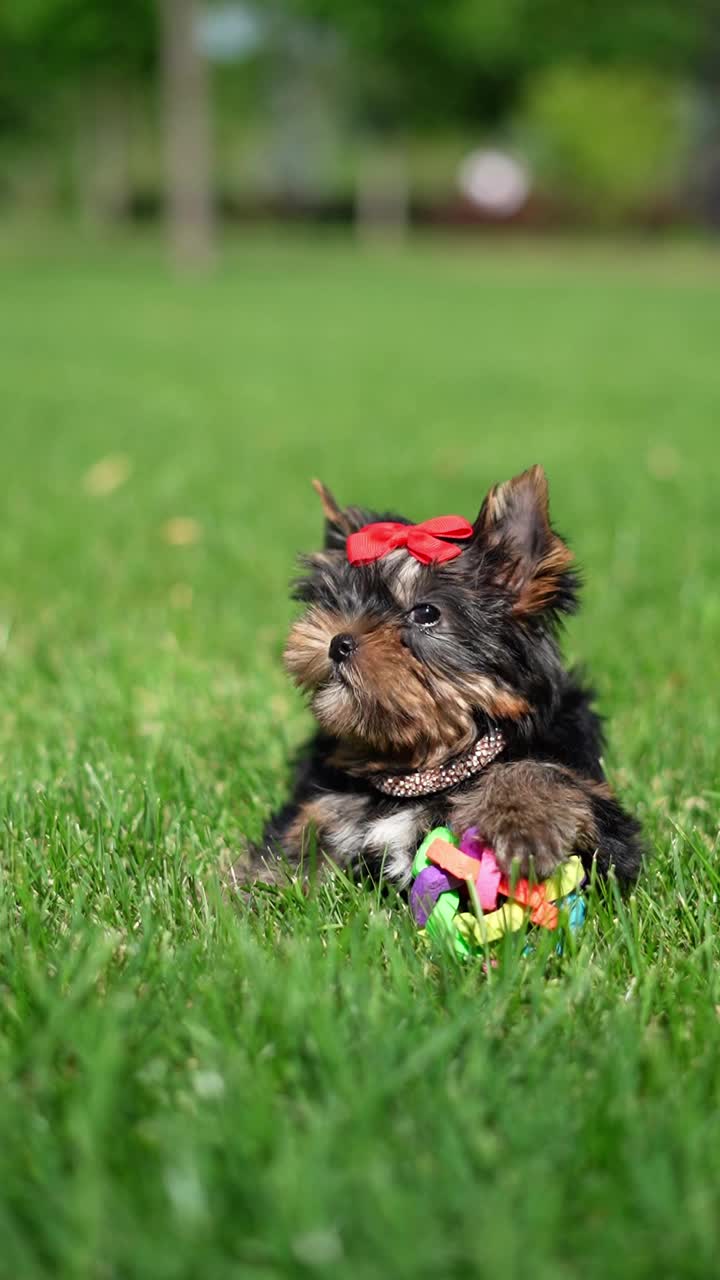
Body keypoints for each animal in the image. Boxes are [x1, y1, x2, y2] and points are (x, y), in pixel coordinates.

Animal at [238, 465, 640, 896]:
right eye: (336, 602)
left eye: (426, 613)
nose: (338, 642)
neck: (422, 764)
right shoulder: (323, 803)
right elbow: (295, 841)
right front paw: (256, 889)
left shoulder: (607, 827)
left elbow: (540, 772)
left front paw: (525, 825)